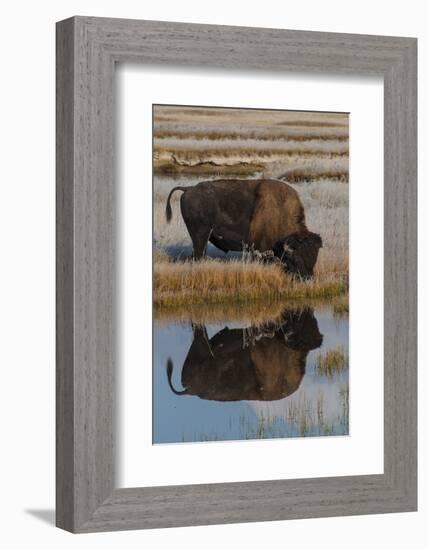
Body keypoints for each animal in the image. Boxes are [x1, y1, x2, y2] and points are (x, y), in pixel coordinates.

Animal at [166, 179, 322, 278]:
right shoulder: (261, 251)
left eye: (315, 257)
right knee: (198, 254)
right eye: (296, 257)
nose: (307, 278)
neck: (280, 211)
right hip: (200, 236)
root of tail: (188, 189)